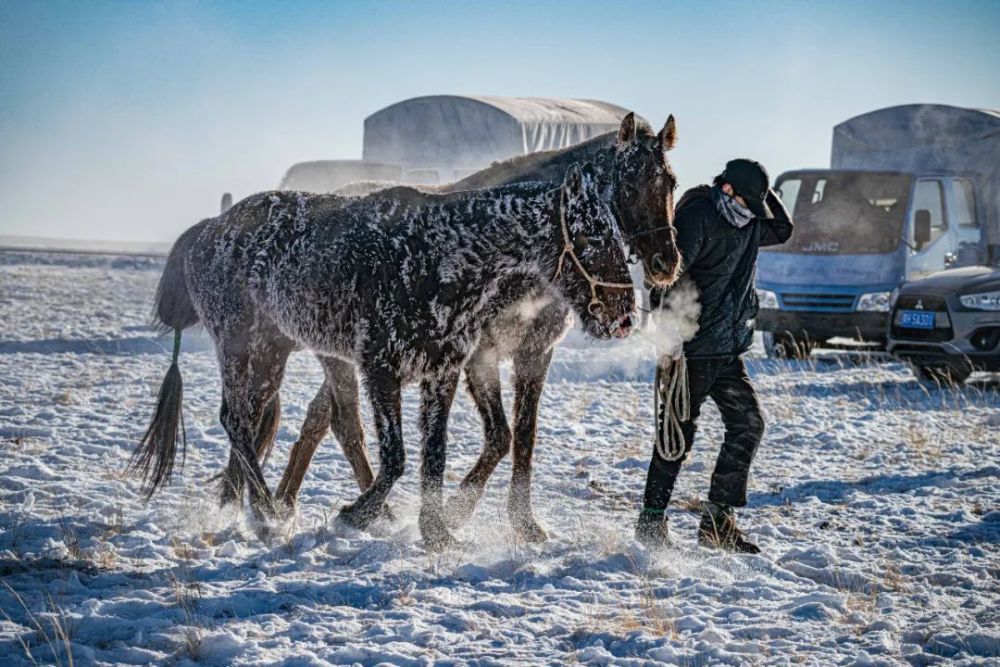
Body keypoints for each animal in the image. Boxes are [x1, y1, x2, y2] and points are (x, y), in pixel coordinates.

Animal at [131, 160, 632, 548]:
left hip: (273, 351)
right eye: (591, 238)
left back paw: (254, 508)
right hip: (237, 343)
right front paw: (357, 514)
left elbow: (435, 455)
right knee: (237, 420)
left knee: (251, 421)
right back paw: (269, 512)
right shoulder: (381, 369)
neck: (441, 254)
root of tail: (207, 230)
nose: (623, 315)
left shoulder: (443, 372)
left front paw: (436, 532)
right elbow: (397, 457)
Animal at [270, 113, 684, 544]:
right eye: (630, 184)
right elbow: (500, 435)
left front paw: (523, 521)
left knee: (321, 417)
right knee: (341, 421)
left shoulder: (535, 354)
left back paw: (293, 502)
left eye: (671, 182)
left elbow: (523, 435)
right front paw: (457, 511)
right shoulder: (478, 354)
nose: (665, 262)